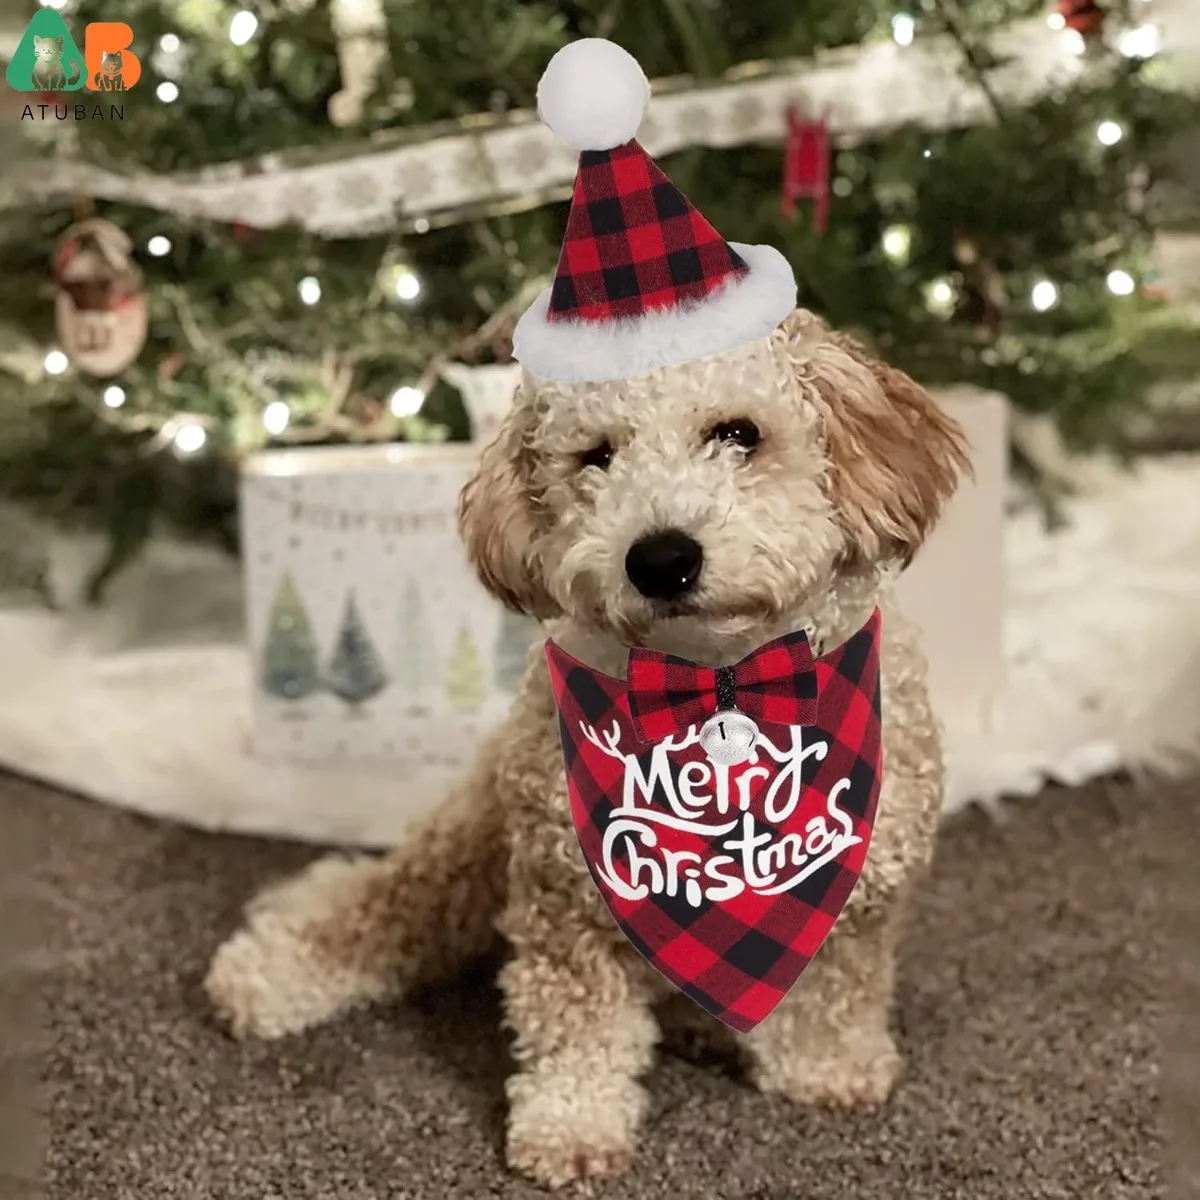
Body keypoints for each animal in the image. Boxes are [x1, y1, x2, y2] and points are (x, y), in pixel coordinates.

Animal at [206, 304, 969, 1185]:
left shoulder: (859, 891)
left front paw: (828, 1068)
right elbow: (578, 1029)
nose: (661, 558)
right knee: (377, 908)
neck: (716, 687)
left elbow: (837, 988)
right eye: (596, 455)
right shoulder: (565, 896)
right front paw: (570, 1125)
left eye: (738, 434)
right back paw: (266, 974)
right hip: (474, 842)